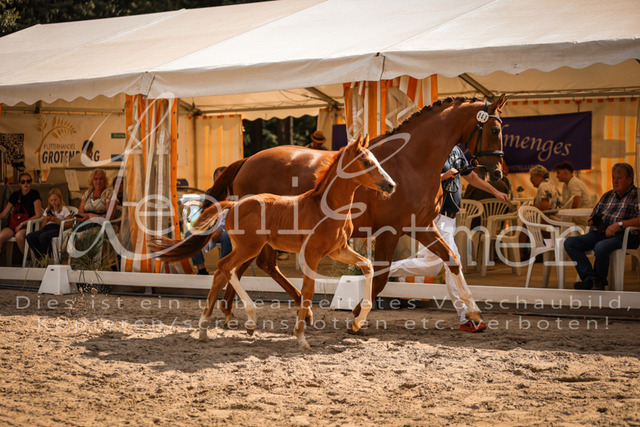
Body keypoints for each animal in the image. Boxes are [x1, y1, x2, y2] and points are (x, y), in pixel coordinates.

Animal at [150, 135, 396, 349]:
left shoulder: (338, 250)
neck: (326, 208)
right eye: (366, 161)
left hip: (246, 248)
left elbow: (367, 265)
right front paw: (301, 337)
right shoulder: (312, 253)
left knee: (222, 273)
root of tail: (233, 204)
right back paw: (249, 319)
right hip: (250, 247)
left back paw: (204, 330)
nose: (391, 185)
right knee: (225, 267)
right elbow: (308, 291)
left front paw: (357, 322)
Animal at [201, 95, 507, 327]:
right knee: (245, 265)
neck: (410, 162)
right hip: (259, 236)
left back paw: (241, 310)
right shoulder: (389, 231)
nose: (497, 172)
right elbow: (381, 275)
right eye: (495, 130)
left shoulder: (421, 226)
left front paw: (475, 313)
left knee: (251, 265)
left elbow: (452, 259)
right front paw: (359, 314)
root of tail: (247, 160)